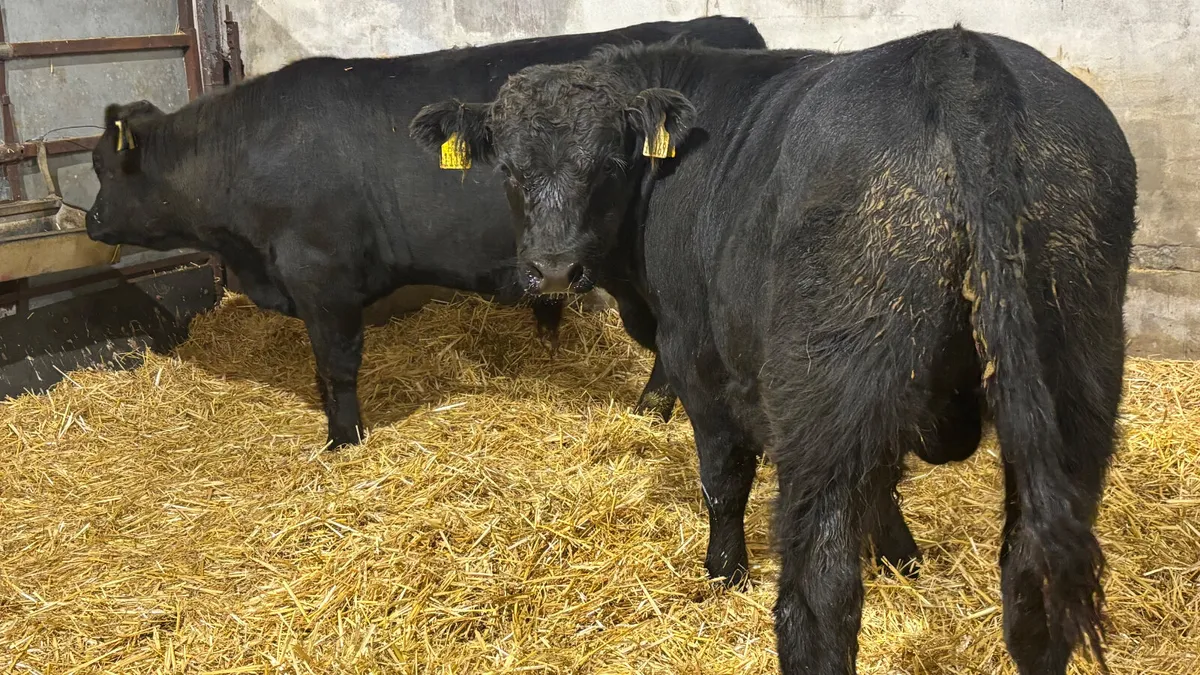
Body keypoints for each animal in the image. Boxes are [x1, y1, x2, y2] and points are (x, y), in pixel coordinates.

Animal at [85, 17, 766, 449]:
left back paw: (650, 411)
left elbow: (337, 365)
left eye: (99, 166)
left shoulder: (321, 276)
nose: (90, 220)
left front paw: (343, 440)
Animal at [411, 25, 1136, 674]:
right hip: (1074, 386)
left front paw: (724, 572)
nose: (554, 268)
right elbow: (883, 488)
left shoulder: (695, 353)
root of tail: (958, 56)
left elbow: (724, 478)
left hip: (828, 394)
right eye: (509, 170)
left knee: (819, 597)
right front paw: (901, 558)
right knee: (1032, 585)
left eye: (608, 164)